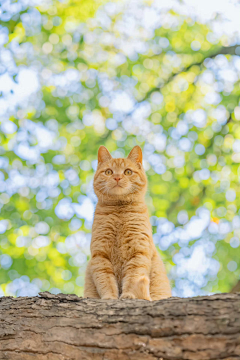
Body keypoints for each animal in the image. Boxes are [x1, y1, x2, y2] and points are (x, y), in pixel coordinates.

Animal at [84, 145, 171, 300]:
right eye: (108, 172)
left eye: (128, 172)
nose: (117, 177)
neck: (120, 213)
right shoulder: (100, 255)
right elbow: (105, 280)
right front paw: (109, 298)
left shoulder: (138, 252)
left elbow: (133, 277)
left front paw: (129, 295)